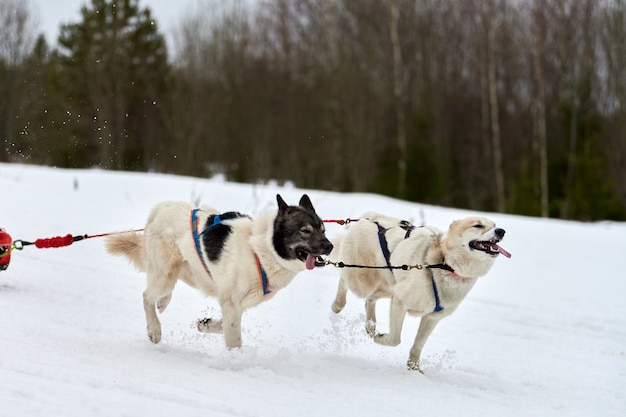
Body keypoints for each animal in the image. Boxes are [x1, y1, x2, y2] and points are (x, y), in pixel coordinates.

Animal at [106, 194, 332, 348]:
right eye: (305, 231)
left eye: (323, 230)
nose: (330, 246)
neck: (261, 249)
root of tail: (161, 208)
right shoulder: (232, 303)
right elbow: (234, 339)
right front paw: (236, 361)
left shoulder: (234, 305)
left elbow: (222, 325)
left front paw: (206, 324)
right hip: (166, 274)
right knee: (146, 296)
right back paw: (154, 328)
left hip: (188, 270)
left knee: (162, 292)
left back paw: (163, 302)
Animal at [330, 213, 510, 372]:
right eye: (478, 225)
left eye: (494, 225)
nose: (501, 231)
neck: (445, 264)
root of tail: (369, 218)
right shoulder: (400, 302)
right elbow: (395, 339)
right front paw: (381, 339)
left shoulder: (431, 317)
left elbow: (418, 345)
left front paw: (414, 368)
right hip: (363, 280)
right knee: (344, 276)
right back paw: (337, 305)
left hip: (389, 286)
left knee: (370, 299)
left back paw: (370, 326)